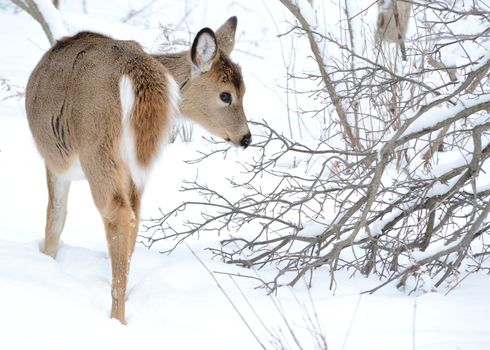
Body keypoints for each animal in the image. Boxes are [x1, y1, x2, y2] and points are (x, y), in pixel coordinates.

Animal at [24, 15, 251, 322]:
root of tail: (138, 72)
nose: (246, 138)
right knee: (135, 215)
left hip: (97, 144)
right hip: (136, 160)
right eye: (227, 95)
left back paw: (116, 318)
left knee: (117, 214)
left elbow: (55, 218)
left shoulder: (55, 161)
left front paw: (47, 259)